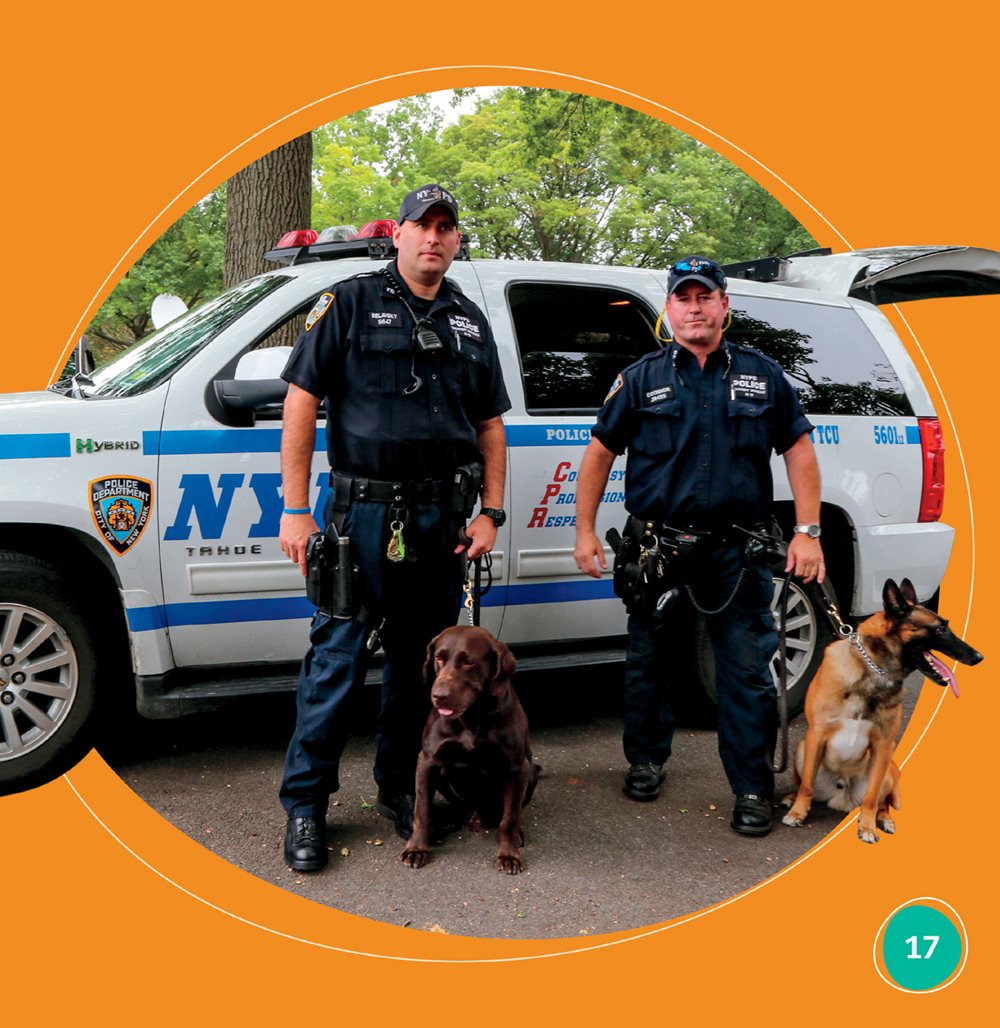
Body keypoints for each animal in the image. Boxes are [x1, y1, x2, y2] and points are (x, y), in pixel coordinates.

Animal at [400, 620, 538, 871]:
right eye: (439, 657)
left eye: (469, 661)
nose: (438, 696)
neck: (472, 717)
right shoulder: (428, 760)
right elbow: (422, 811)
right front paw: (416, 849)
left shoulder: (517, 767)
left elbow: (510, 818)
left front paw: (509, 854)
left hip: (531, 772)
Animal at [781, 579, 982, 842]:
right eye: (940, 629)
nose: (979, 656)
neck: (872, 670)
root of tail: (842, 795)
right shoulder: (816, 735)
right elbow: (806, 785)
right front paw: (797, 813)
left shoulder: (884, 745)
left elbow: (871, 798)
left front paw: (867, 827)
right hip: (802, 749)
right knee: (808, 784)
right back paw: (791, 799)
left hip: (887, 769)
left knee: (881, 802)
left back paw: (885, 820)